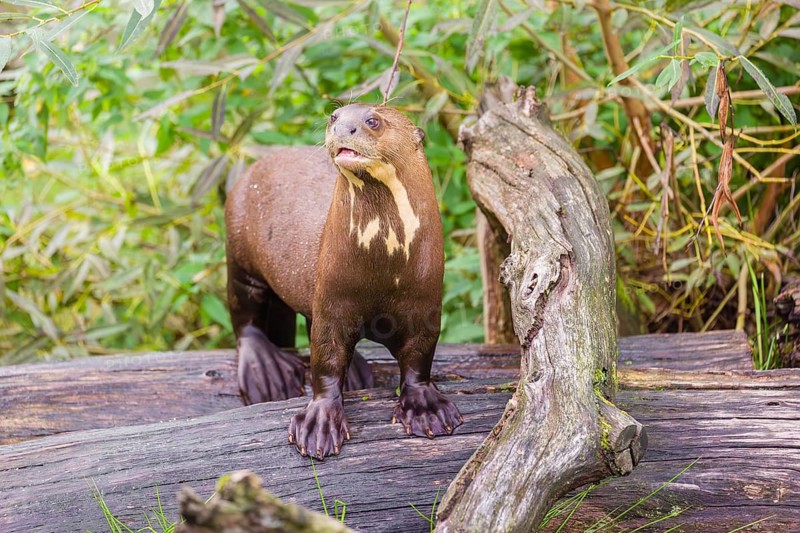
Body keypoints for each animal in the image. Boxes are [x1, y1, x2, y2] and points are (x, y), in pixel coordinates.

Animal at [225, 104, 462, 459]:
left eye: (373, 121)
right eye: (335, 116)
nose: (341, 127)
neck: (382, 265)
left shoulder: (426, 305)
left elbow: (420, 356)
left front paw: (425, 407)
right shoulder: (333, 301)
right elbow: (325, 357)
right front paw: (319, 422)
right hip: (239, 251)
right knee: (244, 316)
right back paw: (266, 370)